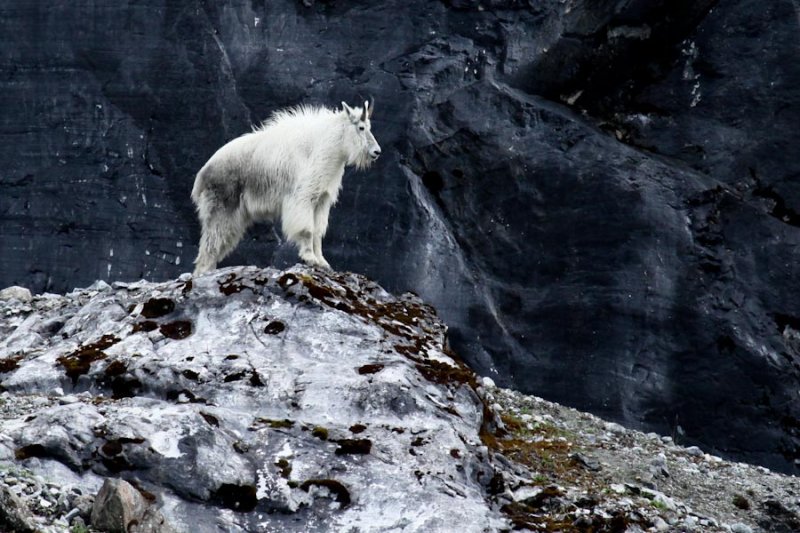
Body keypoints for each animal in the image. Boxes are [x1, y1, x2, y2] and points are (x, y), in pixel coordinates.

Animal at [192, 100, 382, 274]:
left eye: (369, 127)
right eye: (361, 128)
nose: (376, 152)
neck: (327, 147)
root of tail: (202, 174)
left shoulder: (321, 199)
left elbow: (318, 232)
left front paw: (322, 262)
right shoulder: (303, 196)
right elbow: (307, 229)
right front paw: (309, 258)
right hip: (221, 206)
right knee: (211, 243)